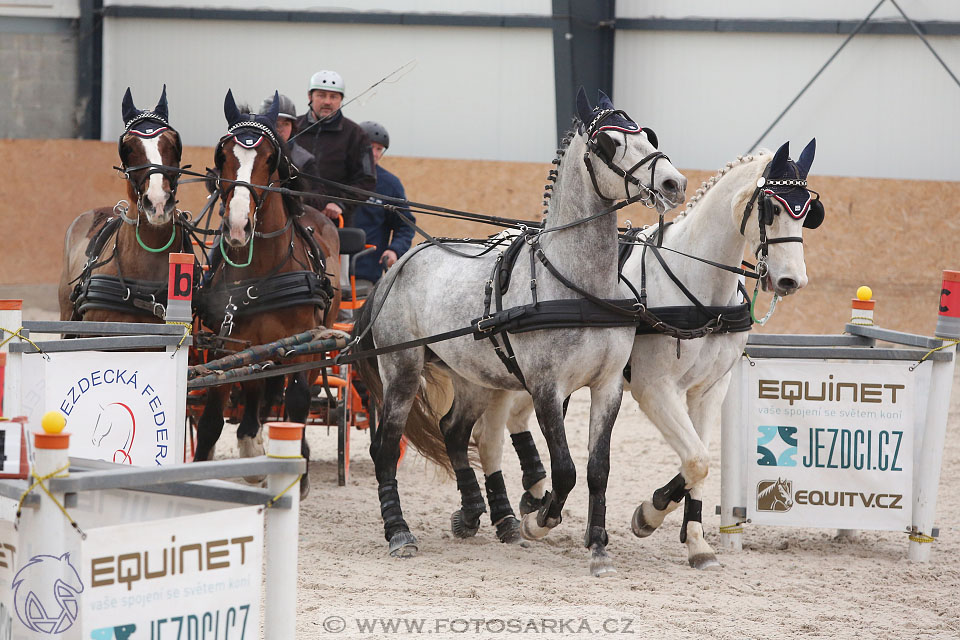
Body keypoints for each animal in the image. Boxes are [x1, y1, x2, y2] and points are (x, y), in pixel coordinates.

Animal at [194, 90, 342, 500]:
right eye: (222, 155)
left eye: (270, 158)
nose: (238, 226)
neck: (261, 272)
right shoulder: (225, 344)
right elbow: (212, 418)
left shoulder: (301, 345)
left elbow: (298, 403)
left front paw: (298, 472)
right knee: (256, 390)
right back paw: (252, 440)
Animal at [356, 86, 688, 576]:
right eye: (608, 144)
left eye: (648, 134)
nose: (672, 184)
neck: (577, 287)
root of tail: (397, 266)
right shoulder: (547, 387)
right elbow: (565, 469)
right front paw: (541, 518)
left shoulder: (607, 386)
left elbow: (597, 469)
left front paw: (598, 547)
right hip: (401, 369)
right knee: (385, 448)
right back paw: (399, 533)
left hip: (472, 376)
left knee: (454, 432)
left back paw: (472, 515)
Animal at [466, 140, 824, 568]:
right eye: (771, 208)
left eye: (809, 211)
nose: (791, 280)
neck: (697, 288)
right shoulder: (654, 389)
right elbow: (696, 459)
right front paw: (649, 514)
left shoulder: (710, 390)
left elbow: (700, 461)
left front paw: (695, 541)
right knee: (497, 430)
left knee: (515, 422)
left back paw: (534, 496)